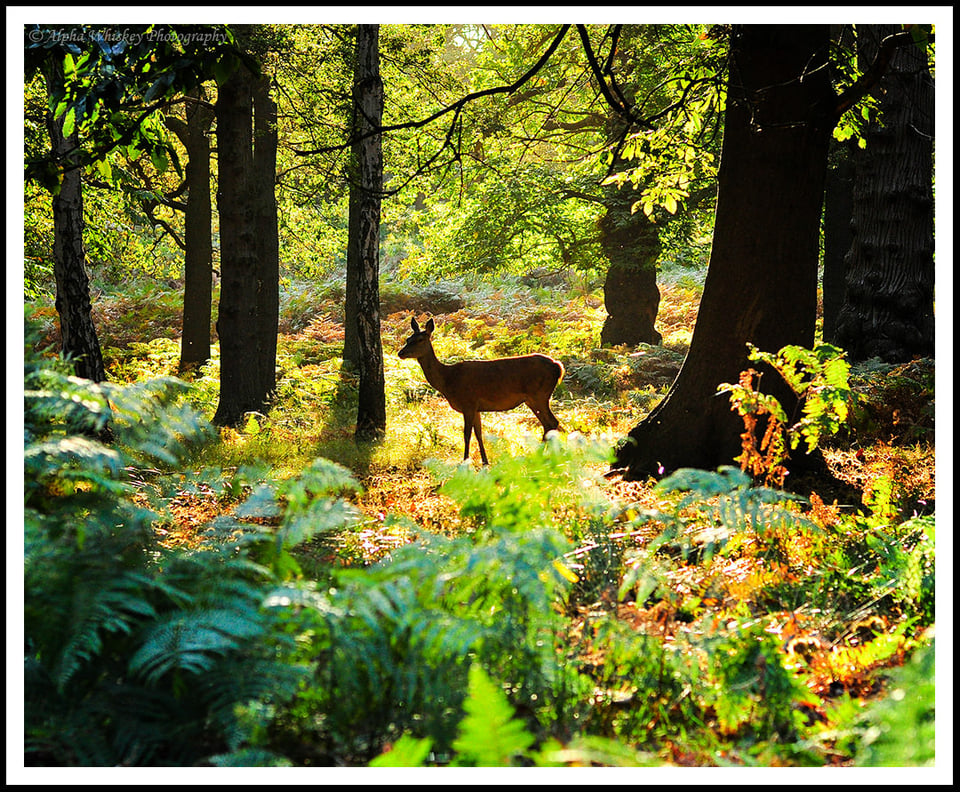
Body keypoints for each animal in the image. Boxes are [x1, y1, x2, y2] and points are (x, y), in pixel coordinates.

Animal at [396, 316, 564, 464]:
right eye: (408, 339)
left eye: (420, 340)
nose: (401, 353)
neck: (448, 380)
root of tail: (558, 367)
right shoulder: (476, 408)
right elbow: (479, 434)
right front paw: (484, 461)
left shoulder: (468, 403)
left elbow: (466, 434)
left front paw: (465, 461)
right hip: (533, 399)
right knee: (549, 424)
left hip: (539, 395)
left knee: (552, 422)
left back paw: (543, 455)